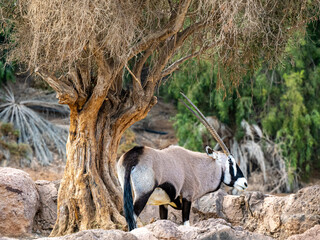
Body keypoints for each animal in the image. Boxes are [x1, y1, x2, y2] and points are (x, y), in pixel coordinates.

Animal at [117, 92, 248, 231]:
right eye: (230, 162)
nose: (245, 183)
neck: (194, 165)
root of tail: (133, 157)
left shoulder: (164, 203)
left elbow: (164, 220)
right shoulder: (187, 197)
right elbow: (186, 223)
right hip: (143, 194)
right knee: (133, 218)